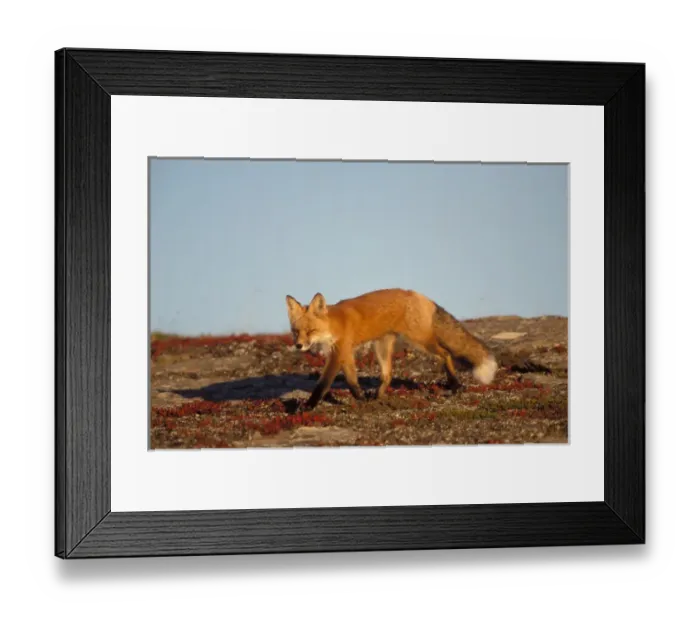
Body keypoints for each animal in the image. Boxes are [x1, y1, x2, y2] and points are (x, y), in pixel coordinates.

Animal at [285, 288, 499, 410]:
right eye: (296, 332)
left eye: (310, 331)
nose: (299, 345)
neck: (333, 325)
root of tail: (421, 296)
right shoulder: (344, 354)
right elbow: (352, 381)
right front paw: (362, 398)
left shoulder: (339, 354)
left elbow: (323, 384)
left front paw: (308, 406)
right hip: (382, 346)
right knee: (387, 375)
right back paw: (378, 397)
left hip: (421, 341)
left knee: (445, 354)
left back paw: (455, 384)